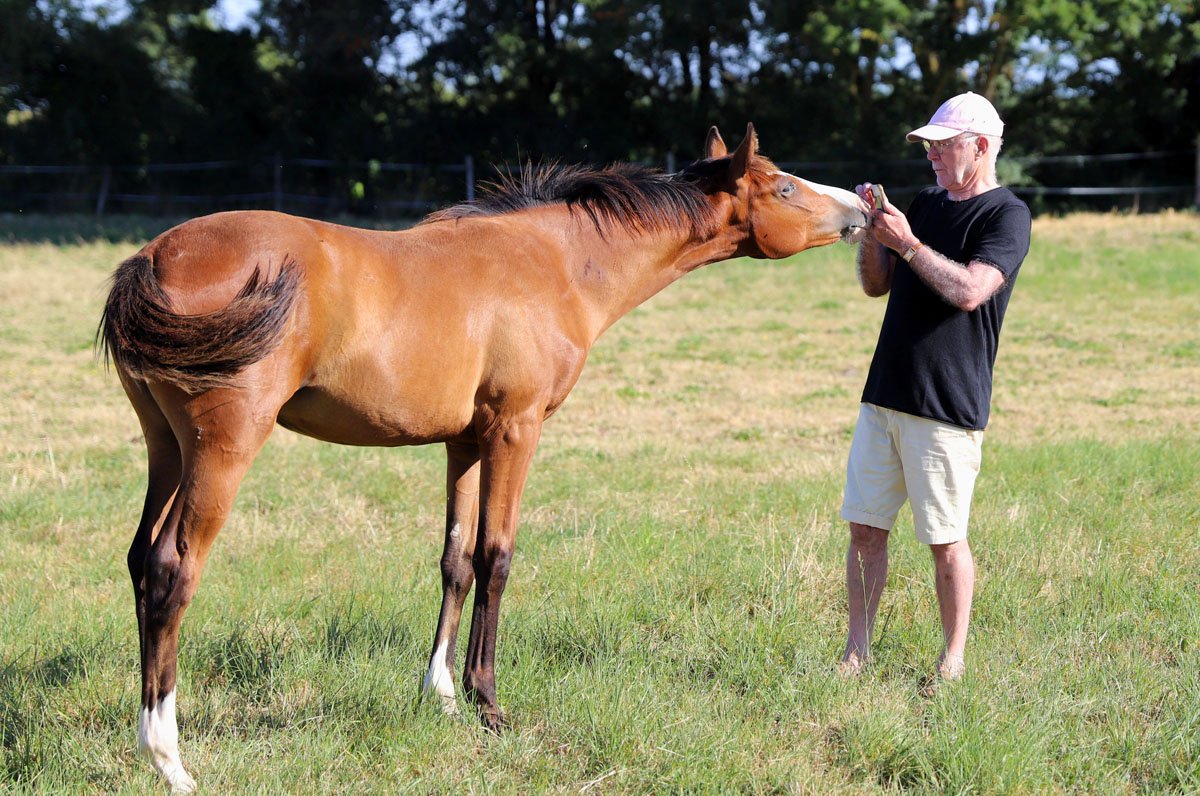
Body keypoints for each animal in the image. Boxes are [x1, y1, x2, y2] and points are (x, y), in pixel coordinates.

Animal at [98, 124, 868, 792]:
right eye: (785, 188)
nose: (862, 206)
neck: (558, 262)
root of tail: (153, 258)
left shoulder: (465, 442)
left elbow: (456, 560)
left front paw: (439, 694)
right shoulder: (513, 432)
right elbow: (497, 557)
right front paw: (487, 701)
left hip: (167, 449)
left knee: (141, 560)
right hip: (222, 450)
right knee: (173, 570)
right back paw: (168, 757)